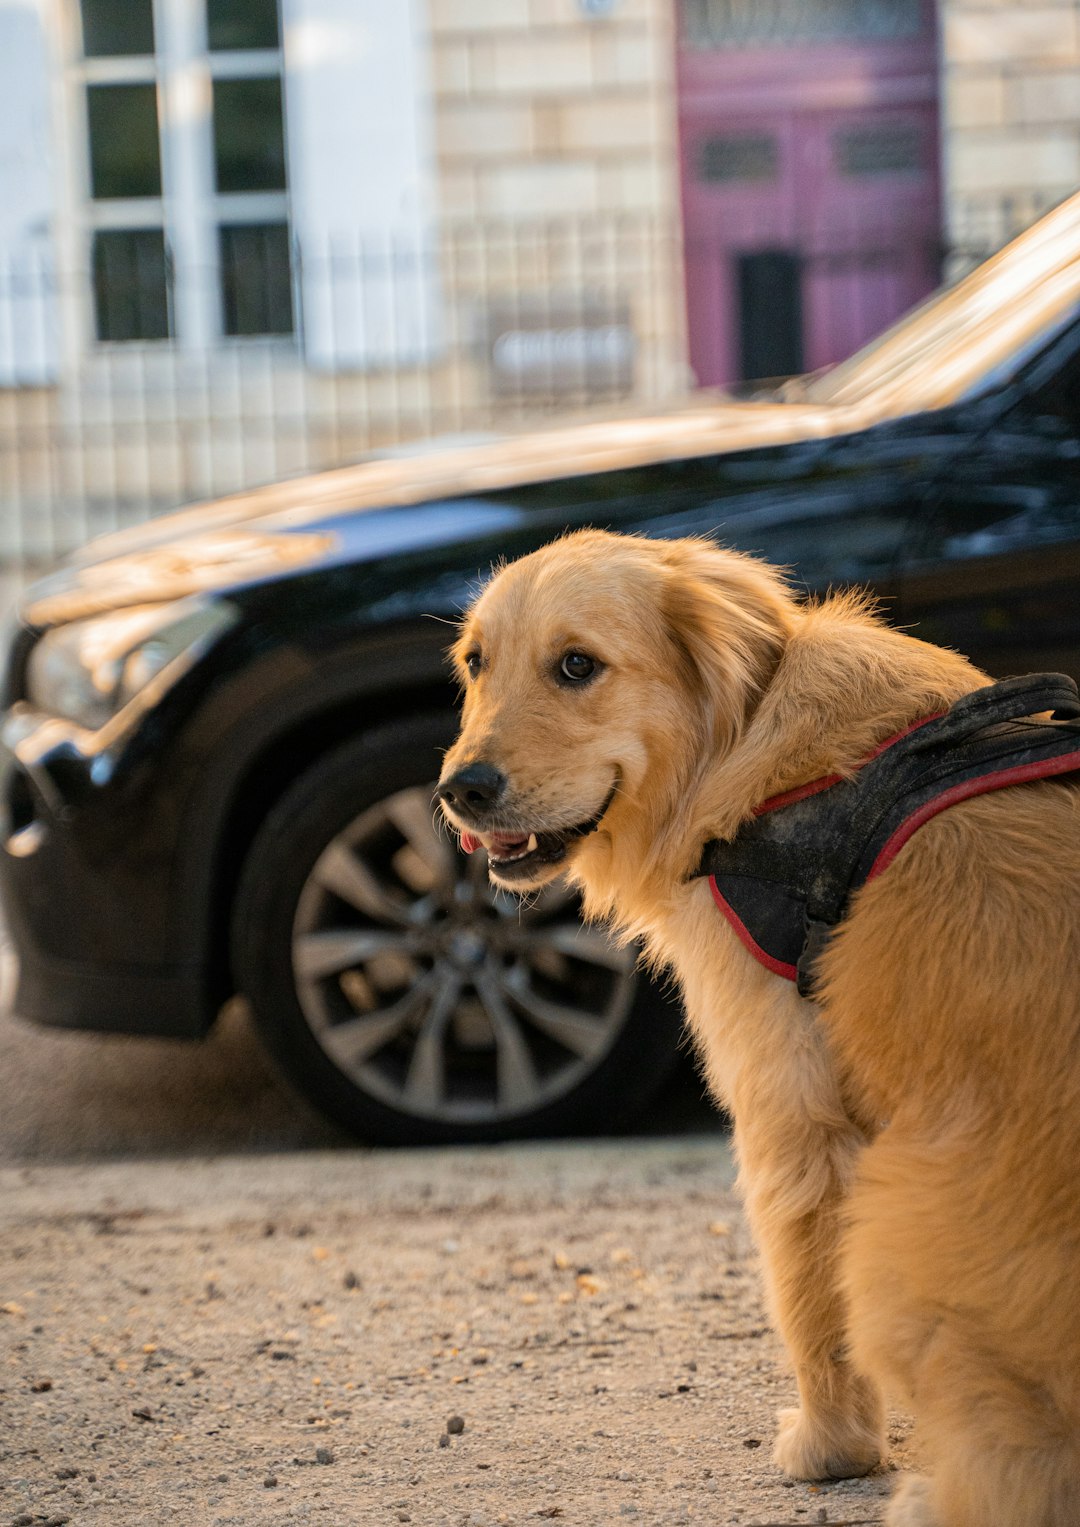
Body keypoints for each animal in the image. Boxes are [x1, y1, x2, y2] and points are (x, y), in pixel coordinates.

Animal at [436, 528, 1080, 1527]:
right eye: (475, 662)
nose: (458, 789)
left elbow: (811, 1306)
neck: (745, 743)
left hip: (897, 1218)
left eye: (577, 664)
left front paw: (829, 1447)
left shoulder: (795, 1119)